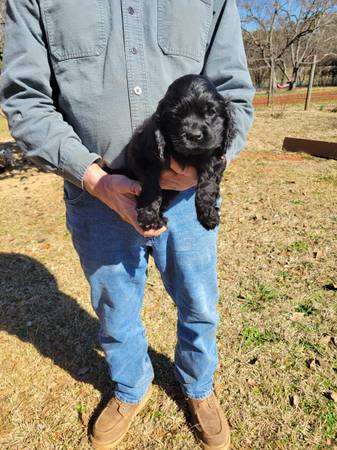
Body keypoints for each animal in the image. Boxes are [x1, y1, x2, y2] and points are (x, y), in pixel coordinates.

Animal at [106, 75, 235, 230]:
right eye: (176, 114)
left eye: (211, 112)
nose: (194, 135)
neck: (187, 155)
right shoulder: (142, 157)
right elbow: (151, 186)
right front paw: (148, 217)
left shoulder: (216, 157)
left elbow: (207, 185)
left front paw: (208, 214)